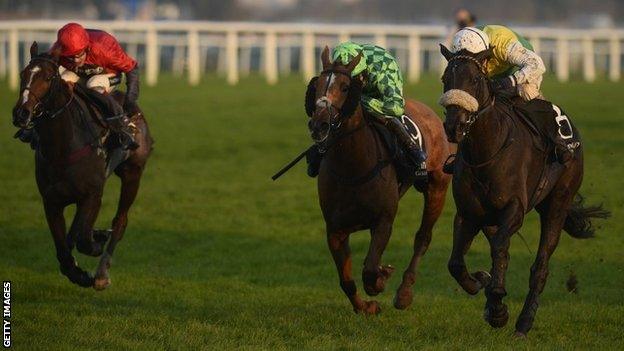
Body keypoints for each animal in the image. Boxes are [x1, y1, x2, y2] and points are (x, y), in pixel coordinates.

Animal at [12, 42, 154, 292]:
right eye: (22, 74)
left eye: (48, 77)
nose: (22, 113)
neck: (63, 147)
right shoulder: (51, 201)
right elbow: (63, 248)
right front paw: (78, 274)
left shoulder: (92, 195)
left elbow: (84, 239)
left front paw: (96, 243)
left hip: (133, 173)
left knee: (120, 221)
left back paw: (102, 272)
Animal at [306, 46, 448, 314]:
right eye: (317, 85)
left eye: (345, 87)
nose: (319, 124)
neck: (353, 167)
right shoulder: (335, 229)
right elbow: (346, 280)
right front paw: (365, 307)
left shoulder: (383, 221)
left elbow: (371, 269)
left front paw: (382, 278)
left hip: (437, 187)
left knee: (422, 238)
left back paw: (404, 293)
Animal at [436, 45, 608, 336]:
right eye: (445, 79)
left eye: (475, 79)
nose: (454, 126)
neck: (487, 150)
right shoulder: (468, 214)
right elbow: (456, 263)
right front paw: (483, 284)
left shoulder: (514, 209)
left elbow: (500, 248)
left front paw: (497, 306)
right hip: (491, 218)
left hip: (558, 203)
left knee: (540, 266)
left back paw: (524, 322)